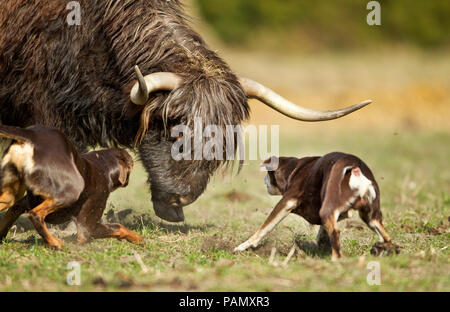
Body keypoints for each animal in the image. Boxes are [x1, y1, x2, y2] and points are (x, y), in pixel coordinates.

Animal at [0, 124, 142, 249]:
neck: (104, 165)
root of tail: (30, 135)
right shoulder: (87, 227)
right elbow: (119, 227)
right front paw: (137, 238)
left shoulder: (21, 204)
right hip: (72, 191)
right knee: (35, 214)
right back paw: (55, 242)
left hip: (10, 195)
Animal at [234, 152, 400, 260]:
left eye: (267, 175)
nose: (264, 181)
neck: (293, 169)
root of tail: (354, 168)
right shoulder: (343, 213)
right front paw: (322, 241)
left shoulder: (286, 202)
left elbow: (264, 228)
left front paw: (243, 246)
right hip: (371, 217)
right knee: (385, 237)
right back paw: (385, 249)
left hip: (328, 209)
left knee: (336, 237)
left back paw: (335, 261)